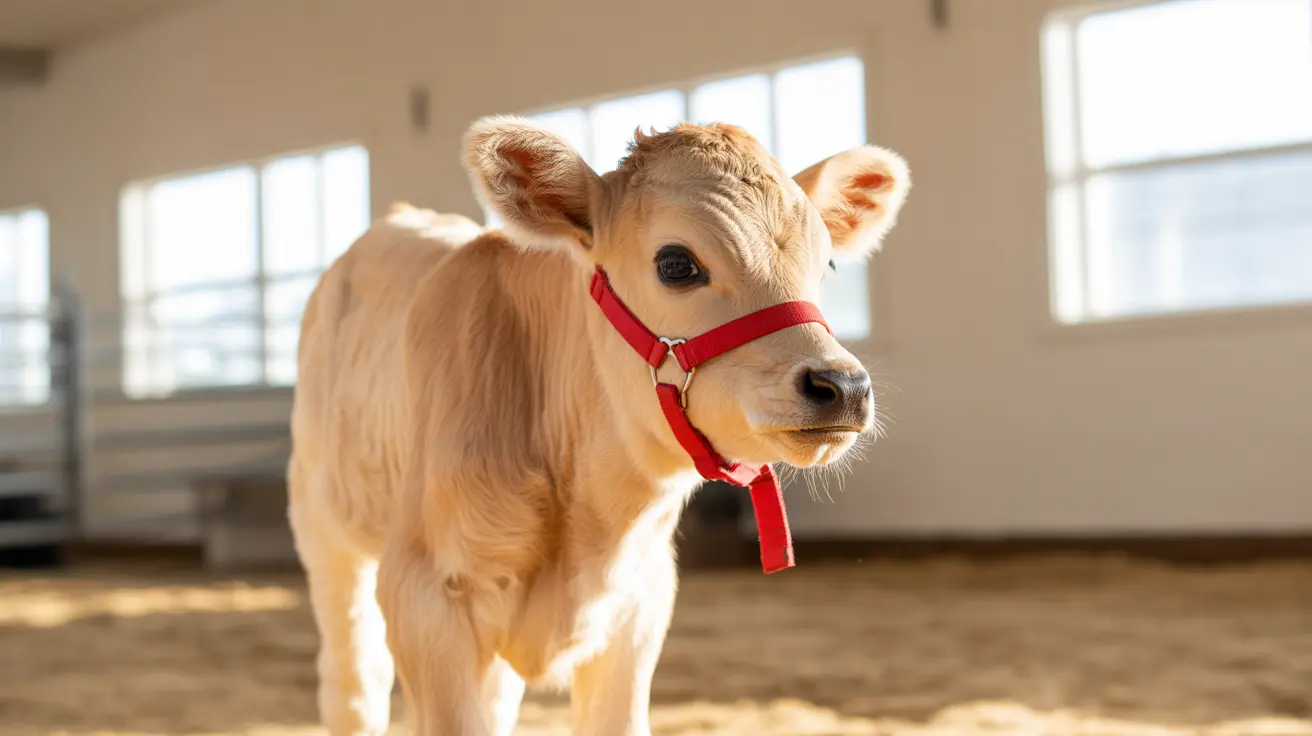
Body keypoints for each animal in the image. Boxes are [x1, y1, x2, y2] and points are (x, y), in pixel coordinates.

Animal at [287, 116, 911, 736]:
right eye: (676, 263)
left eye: (827, 265)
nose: (842, 387)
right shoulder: (426, 598)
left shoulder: (640, 604)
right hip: (326, 531)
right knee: (354, 681)